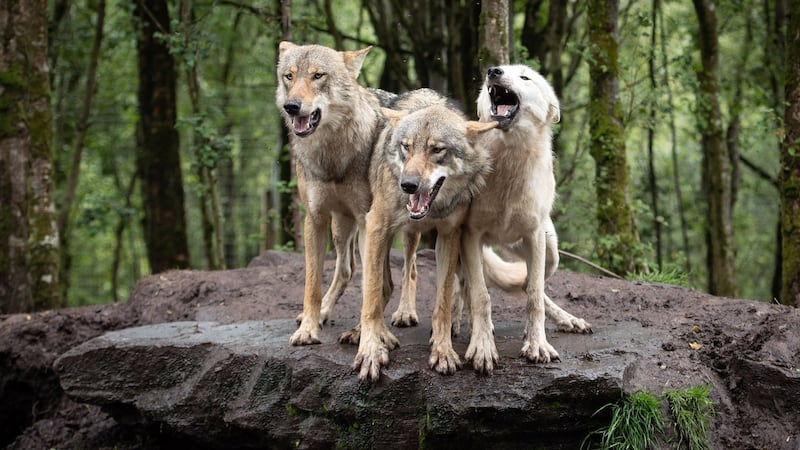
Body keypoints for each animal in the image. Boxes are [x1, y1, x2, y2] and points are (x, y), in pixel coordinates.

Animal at [352, 93, 497, 382]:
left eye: (437, 149)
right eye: (406, 147)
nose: (407, 185)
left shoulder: (450, 235)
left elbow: (442, 303)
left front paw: (442, 351)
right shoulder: (376, 227)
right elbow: (371, 298)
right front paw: (371, 350)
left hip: (412, 236)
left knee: (411, 271)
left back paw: (407, 314)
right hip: (381, 235)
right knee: (382, 284)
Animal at [458, 65, 592, 375]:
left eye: (525, 77)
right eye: (498, 70)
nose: (493, 71)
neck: (510, 163)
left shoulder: (534, 235)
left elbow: (534, 296)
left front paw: (537, 345)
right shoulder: (470, 235)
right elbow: (482, 296)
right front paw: (482, 347)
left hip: (550, 250)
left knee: (529, 284)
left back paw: (568, 320)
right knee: (463, 287)